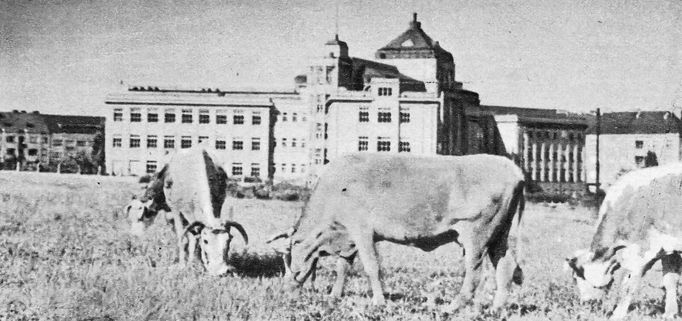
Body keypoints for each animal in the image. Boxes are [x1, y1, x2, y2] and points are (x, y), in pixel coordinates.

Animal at [564, 162, 680, 318]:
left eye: (576, 277)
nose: (586, 305)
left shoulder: (642, 250)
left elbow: (628, 284)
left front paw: (616, 314)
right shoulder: (669, 248)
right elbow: (670, 280)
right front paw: (669, 314)